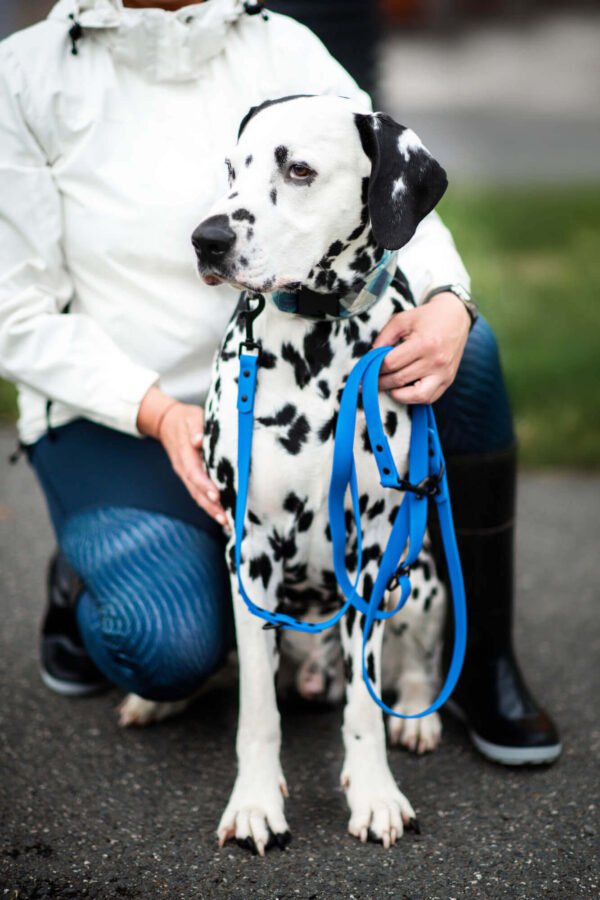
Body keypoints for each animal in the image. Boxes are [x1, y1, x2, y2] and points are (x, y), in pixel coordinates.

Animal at [120, 95, 446, 856]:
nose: (206, 240)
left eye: (298, 169)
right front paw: (255, 803)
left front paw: (375, 794)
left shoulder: (371, 556)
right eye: (230, 168)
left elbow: (365, 703)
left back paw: (417, 713)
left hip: (419, 576)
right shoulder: (252, 553)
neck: (316, 343)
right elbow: (257, 712)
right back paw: (159, 698)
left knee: (415, 660)